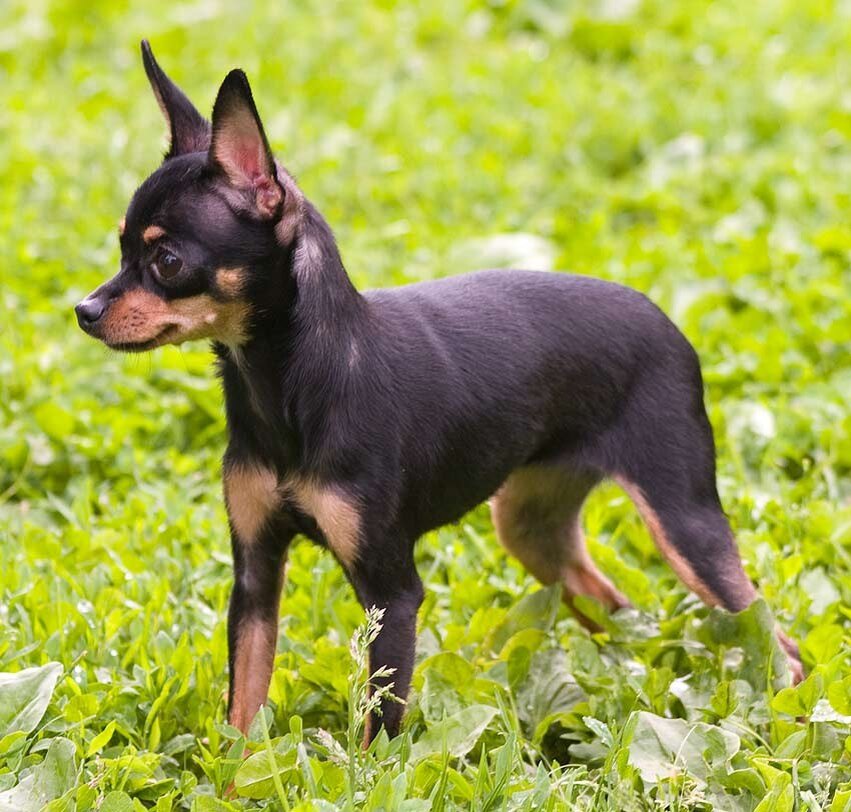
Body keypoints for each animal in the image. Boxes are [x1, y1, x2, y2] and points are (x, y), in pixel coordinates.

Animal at [76, 41, 804, 744]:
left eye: (167, 261)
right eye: (120, 250)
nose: (83, 310)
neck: (287, 382)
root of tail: (665, 319)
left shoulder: (392, 594)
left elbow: (379, 733)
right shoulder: (255, 578)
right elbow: (242, 709)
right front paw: (237, 771)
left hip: (683, 521)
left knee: (775, 640)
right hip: (530, 529)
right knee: (618, 606)